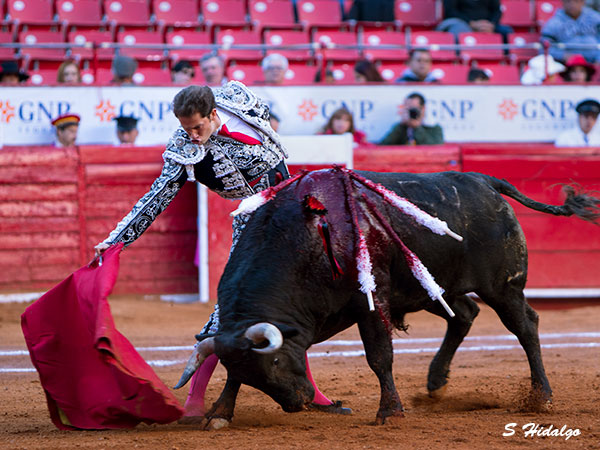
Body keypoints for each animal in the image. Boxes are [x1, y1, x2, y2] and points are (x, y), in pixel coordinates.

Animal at [176, 169, 596, 426]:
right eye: (258, 372)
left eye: (277, 360)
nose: (297, 402)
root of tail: (484, 181)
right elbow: (229, 370)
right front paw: (219, 413)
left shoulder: (372, 301)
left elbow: (379, 357)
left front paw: (390, 412)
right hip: (432, 287)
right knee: (464, 314)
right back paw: (435, 381)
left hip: (504, 286)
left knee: (525, 326)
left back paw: (542, 397)